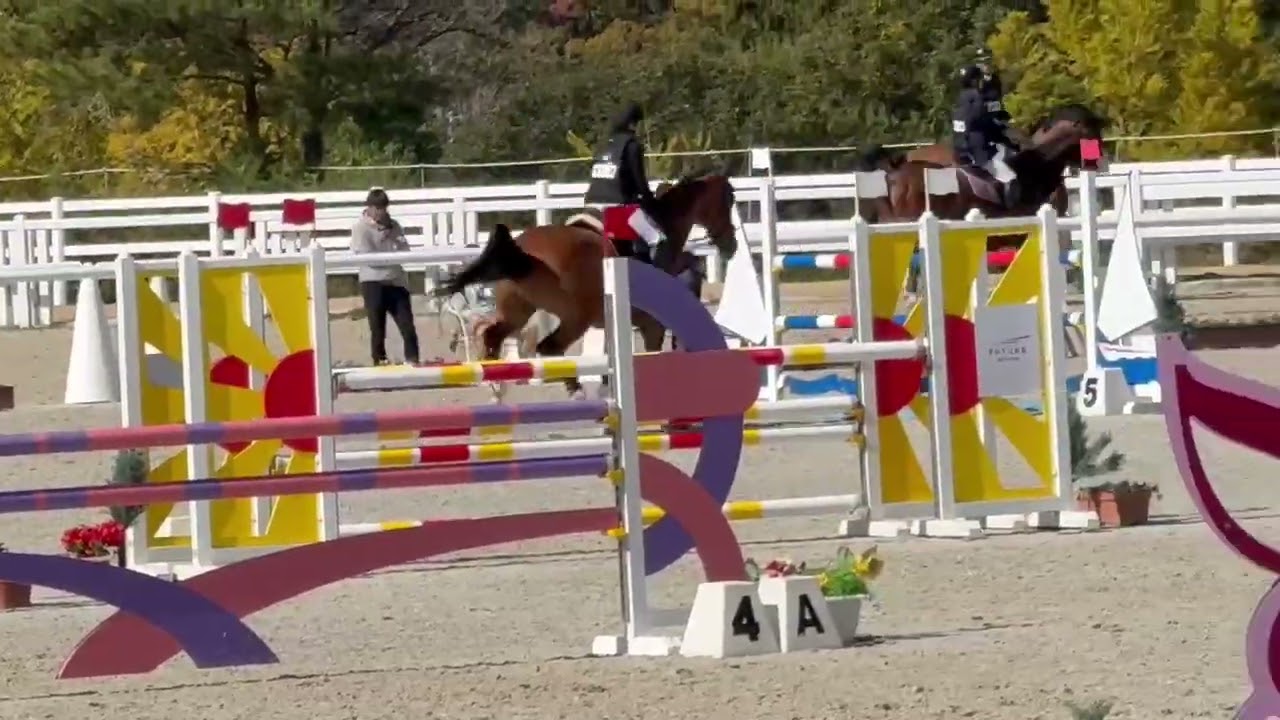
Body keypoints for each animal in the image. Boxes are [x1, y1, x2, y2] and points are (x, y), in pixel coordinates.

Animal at [432, 172, 739, 397]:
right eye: (728, 202)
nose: (731, 245)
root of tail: (522, 250)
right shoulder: (651, 323)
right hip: (574, 317)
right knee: (549, 346)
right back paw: (574, 390)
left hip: (519, 311)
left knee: (494, 335)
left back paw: (497, 386)